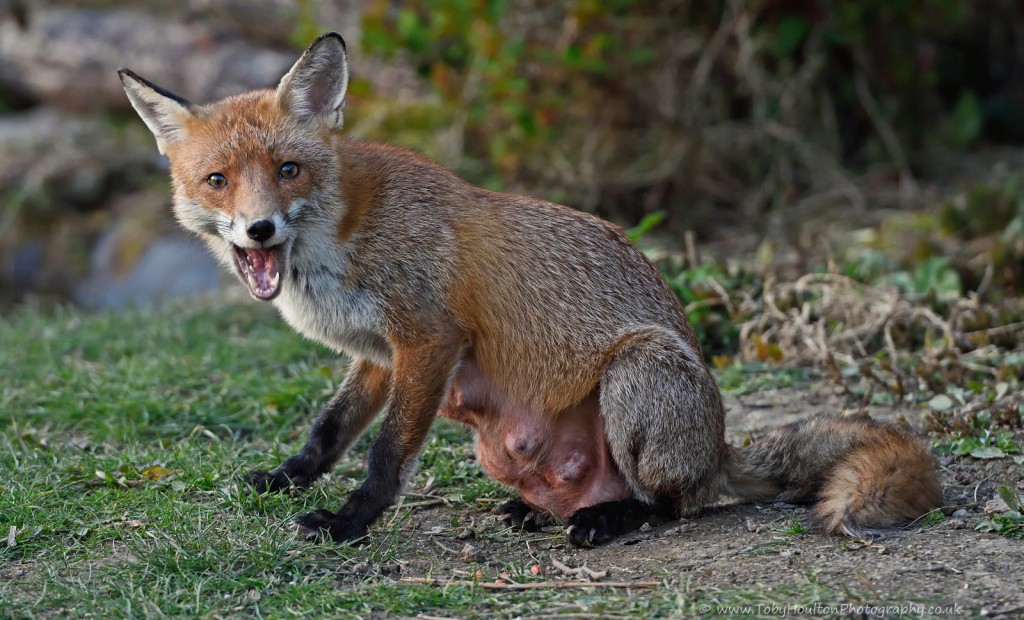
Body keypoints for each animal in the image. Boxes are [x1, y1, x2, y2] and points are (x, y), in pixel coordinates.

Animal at [116, 32, 937, 545]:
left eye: (287, 170)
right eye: (217, 181)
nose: (257, 231)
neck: (338, 242)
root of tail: (719, 448)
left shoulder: (428, 339)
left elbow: (384, 457)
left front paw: (349, 524)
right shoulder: (379, 354)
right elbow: (328, 431)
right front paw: (287, 481)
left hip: (641, 370)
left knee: (676, 502)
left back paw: (613, 521)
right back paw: (542, 511)